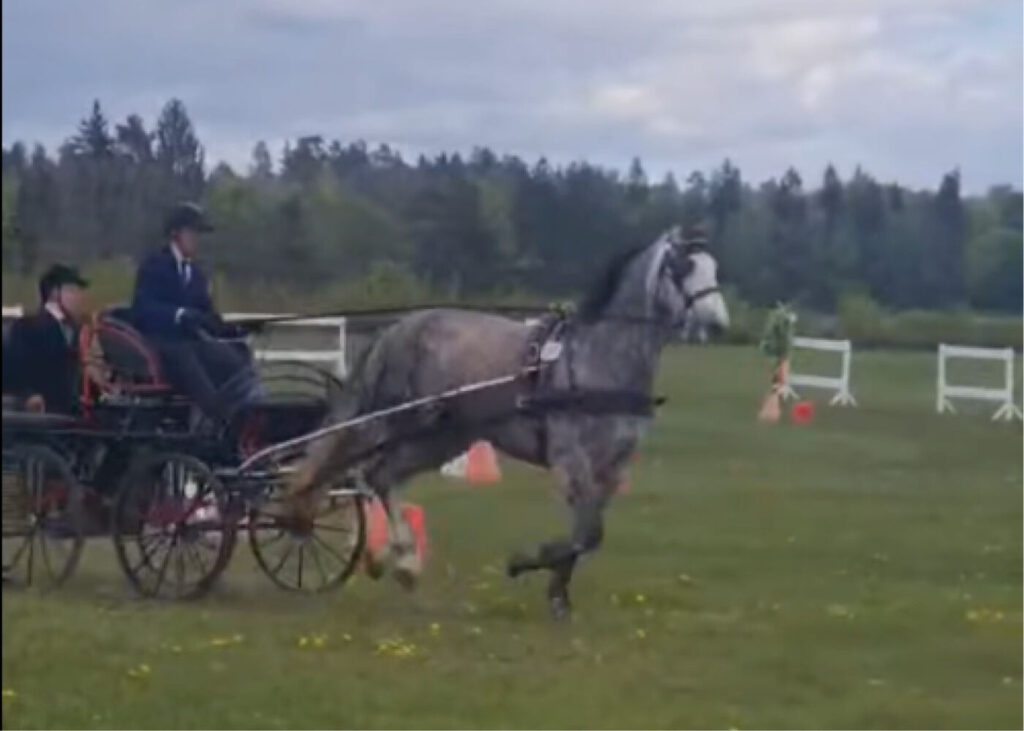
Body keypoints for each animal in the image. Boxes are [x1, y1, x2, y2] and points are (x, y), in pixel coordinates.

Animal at [287, 226, 730, 619]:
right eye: (684, 267)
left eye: (715, 267)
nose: (720, 324)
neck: (598, 360)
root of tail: (396, 329)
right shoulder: (571, 458)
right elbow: (586, 533)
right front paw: (525, 563)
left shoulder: (613, 466)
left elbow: (587, 535)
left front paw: (558, 594)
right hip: (396, 421)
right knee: (364, 472)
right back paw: (387, 557)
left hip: (441, 438)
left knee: (382, 476)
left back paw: (395, 562)